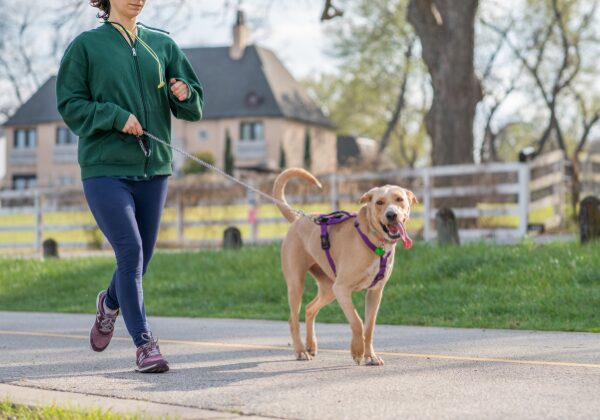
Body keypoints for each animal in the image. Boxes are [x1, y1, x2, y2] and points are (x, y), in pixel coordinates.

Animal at [274, 167, 418, 364]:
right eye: (379, 202)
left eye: (399, 199)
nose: (391, 215)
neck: (375, 240)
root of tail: (298, 218)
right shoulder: (342, 289)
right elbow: (357, 322)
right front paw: (357, 352)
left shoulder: (375, 292)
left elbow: (369, 327)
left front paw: (370, 356)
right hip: (298, 284)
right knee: (292, 319)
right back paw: (301, 350)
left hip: (328, 289)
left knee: (310, 309)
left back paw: (311, 345)